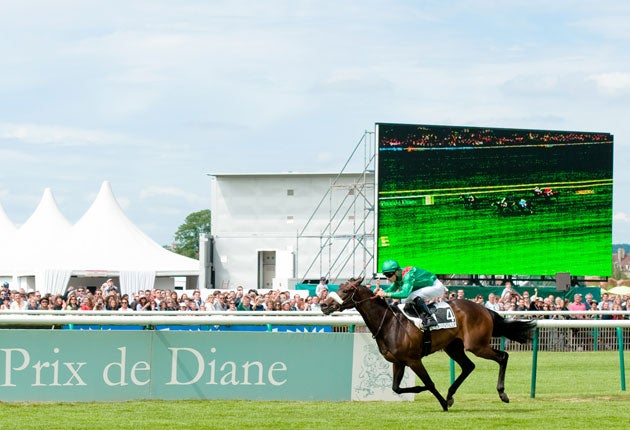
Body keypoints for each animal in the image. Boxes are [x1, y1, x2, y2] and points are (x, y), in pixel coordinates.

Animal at [320, 278, 540, 412]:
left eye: (346, 290)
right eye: (338, 288)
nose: (323, 305)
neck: (389, 323)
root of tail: (484, 309)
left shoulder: (413, 359)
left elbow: (429, 383)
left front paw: (441, 402)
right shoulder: (398, 361)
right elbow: (396, 388)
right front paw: (427, 393)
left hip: (477, 345)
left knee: (503, 356)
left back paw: (502, 393)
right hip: (454, 347)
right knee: (468, 366)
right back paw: (451, 394)